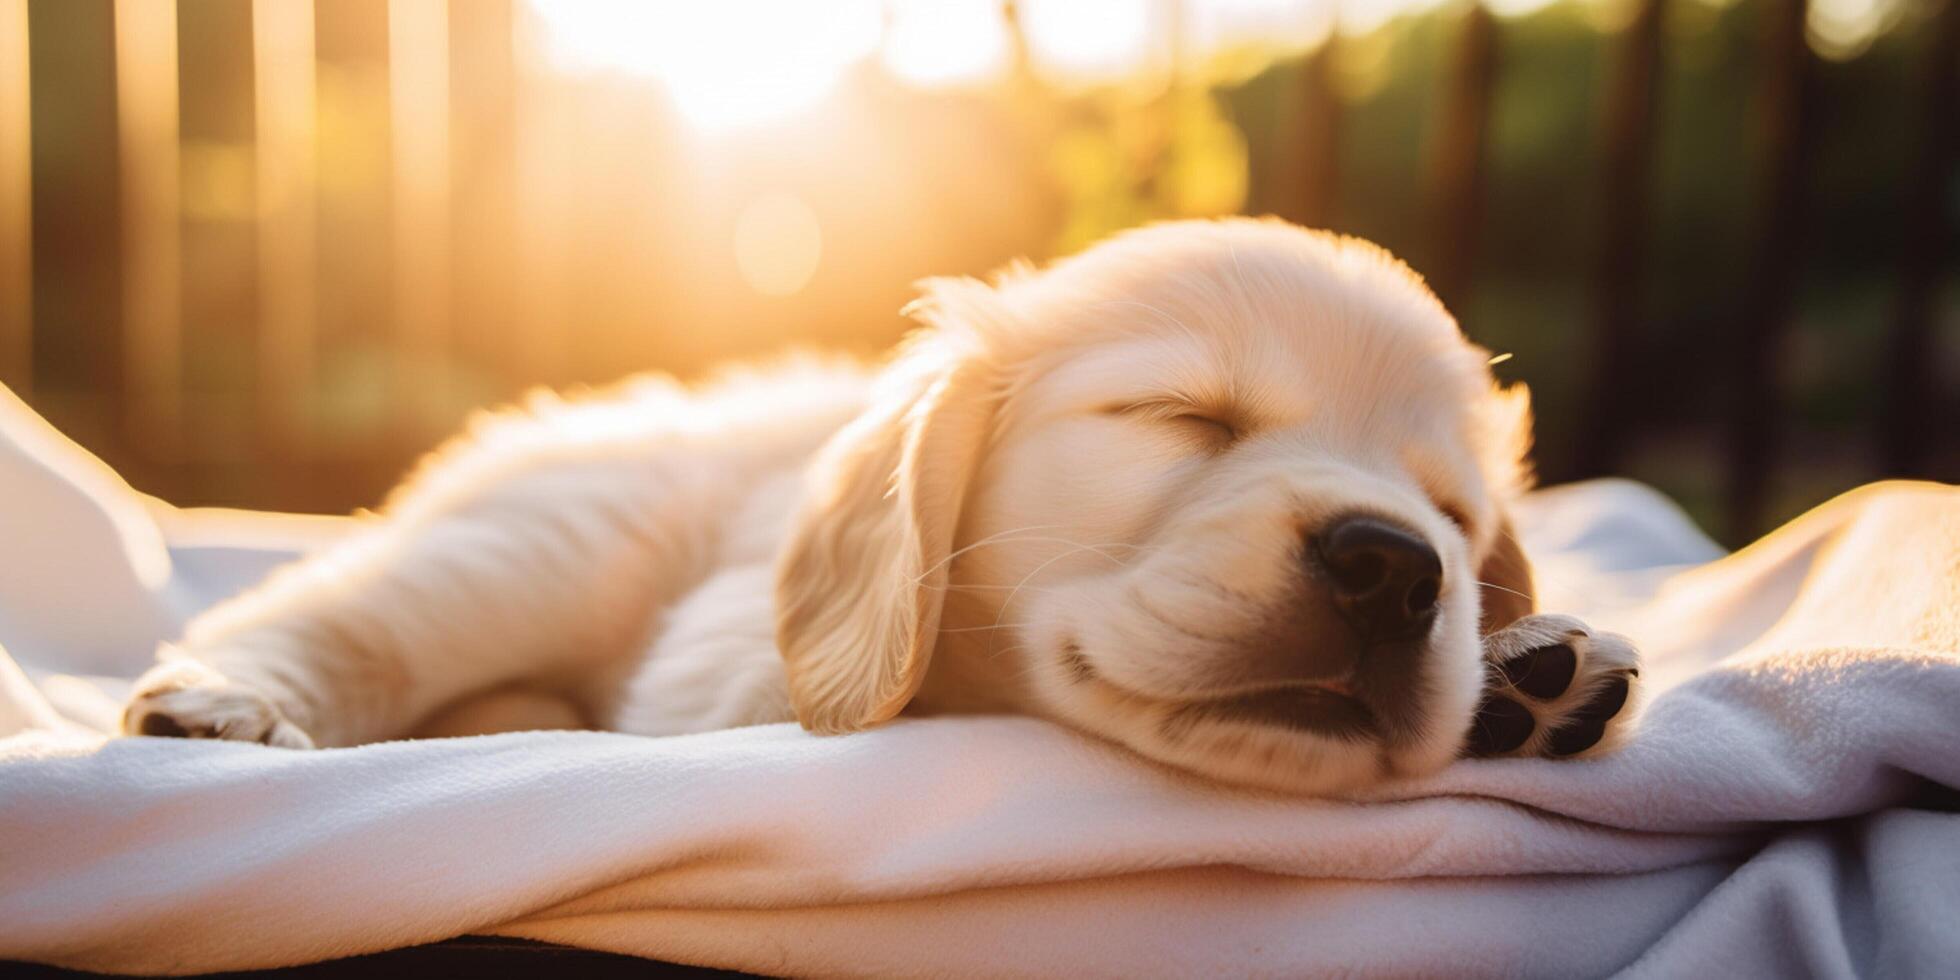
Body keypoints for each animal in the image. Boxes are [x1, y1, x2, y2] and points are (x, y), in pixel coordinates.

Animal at [122, 218, 1638, 791]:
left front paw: (1528, 664)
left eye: (1450, 514)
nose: (1394, 567)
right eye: (1184, 419)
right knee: (342, 617)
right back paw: (224, 701)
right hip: (546, 542)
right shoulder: (720, 672)